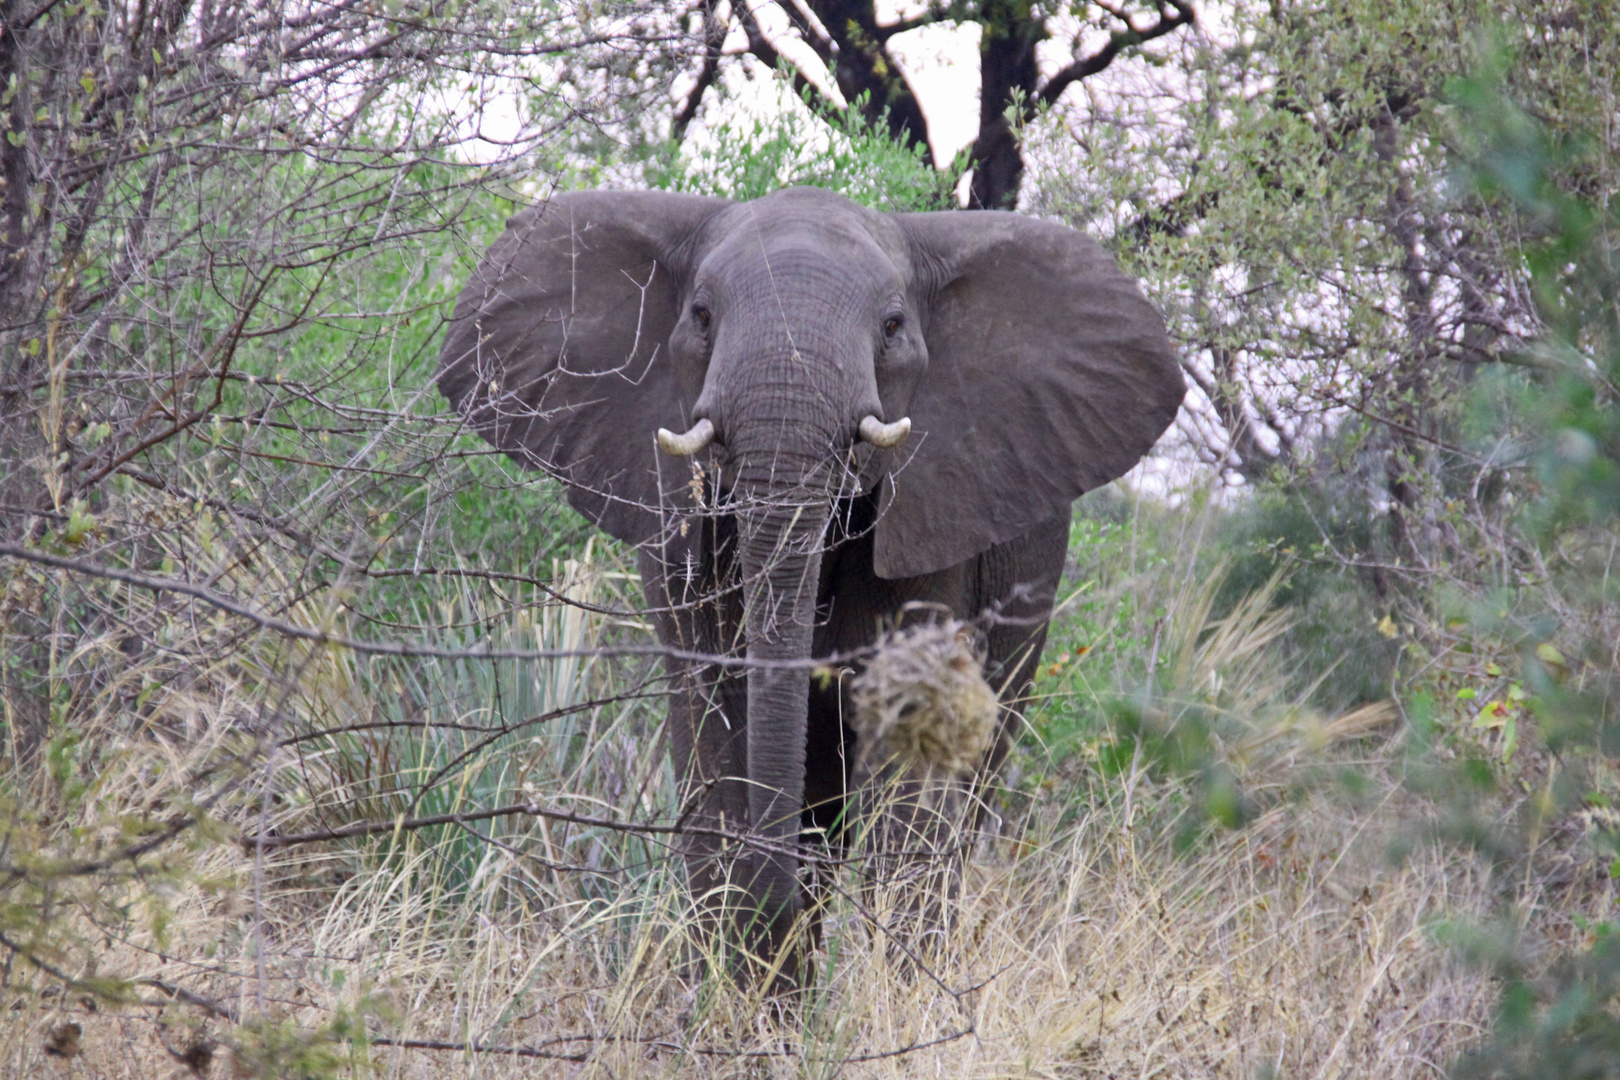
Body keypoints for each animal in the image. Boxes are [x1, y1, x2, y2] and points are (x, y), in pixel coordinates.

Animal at [437, 187, 1185, 990]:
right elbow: (714, 743)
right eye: (701, 314)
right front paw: (745, 994)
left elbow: (910, 770)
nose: (779, 912)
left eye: (892, 327)